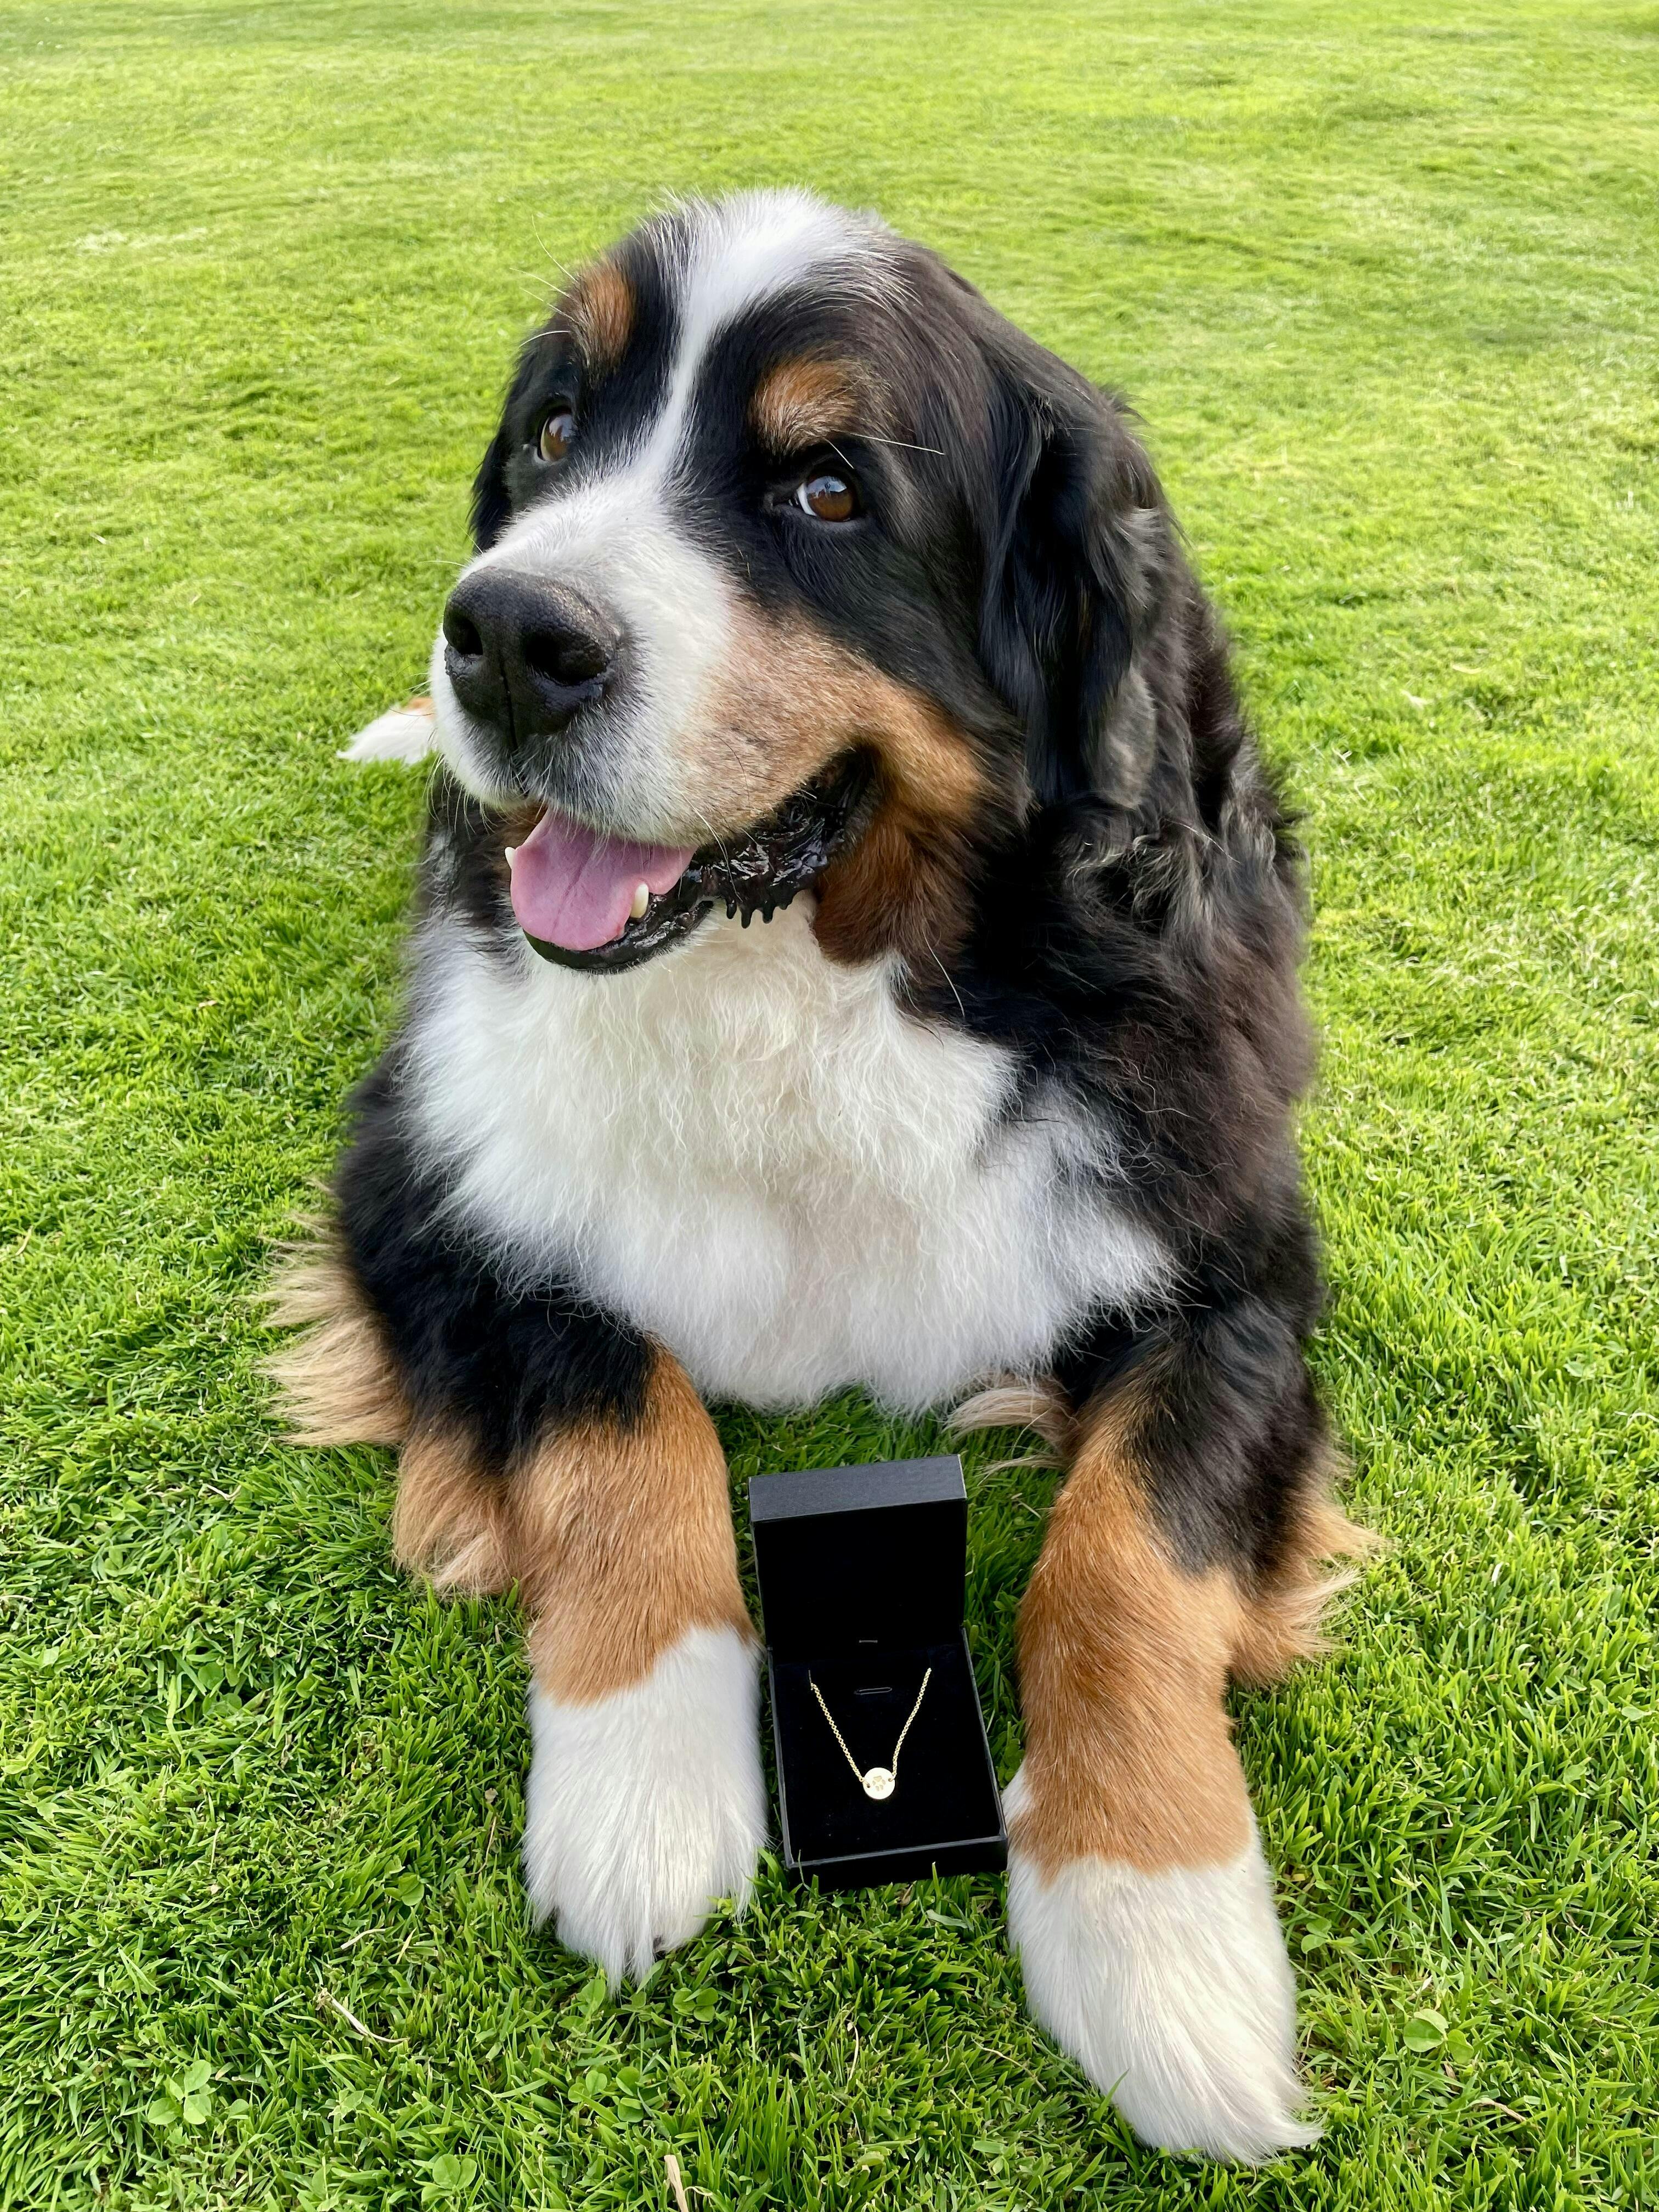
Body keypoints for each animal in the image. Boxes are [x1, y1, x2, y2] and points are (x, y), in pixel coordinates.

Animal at [274, 189, 1369, 2163]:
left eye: (828, 488)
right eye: (554, 432)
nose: (499, 638)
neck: (808, 982)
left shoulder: (1236, 1258)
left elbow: (1122, 1558)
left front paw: (1159, 1936)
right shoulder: (426, 1181)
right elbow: (614, 1404)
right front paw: (640, 1783)